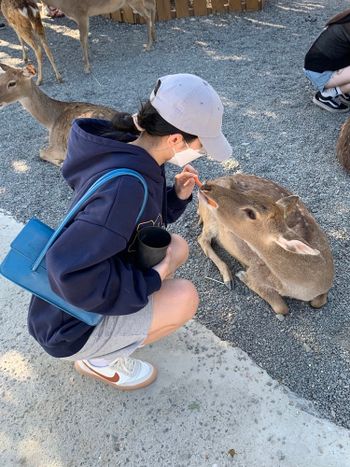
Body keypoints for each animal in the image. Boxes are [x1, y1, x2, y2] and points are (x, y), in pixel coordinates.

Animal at [197, 174, 334, 316]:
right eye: (249, 193)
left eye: (251, 213)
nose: (206, 186)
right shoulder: (256, 271)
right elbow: (282, 307)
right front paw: (242, 275)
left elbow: (318, 302)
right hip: (211, 221)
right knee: (202, 239)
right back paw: (228, 279)